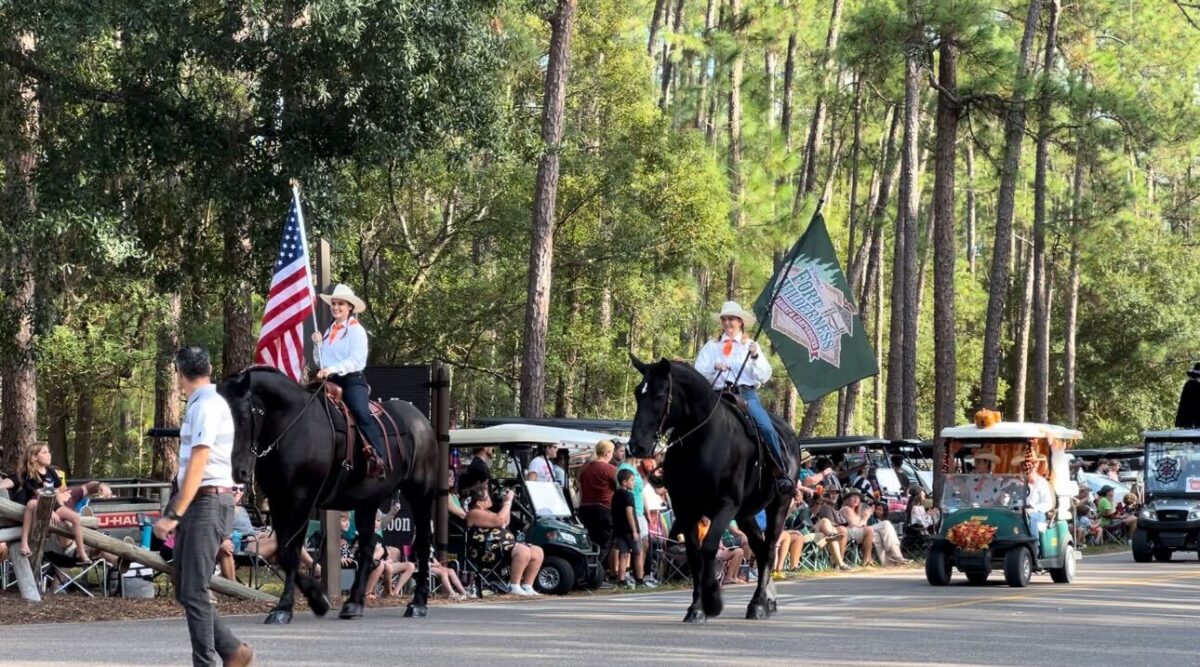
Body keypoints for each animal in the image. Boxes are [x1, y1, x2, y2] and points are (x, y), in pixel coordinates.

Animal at [218, 367, 439, 623]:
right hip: (367, 502)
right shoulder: (278, 499)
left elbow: (290, 550)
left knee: (422, 544)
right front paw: (317, 599)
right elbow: (284, 550)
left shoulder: (302, 498)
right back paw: (353, 603)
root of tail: (422, 421)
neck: (292, 425)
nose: (239, 471)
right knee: (367, 547)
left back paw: (418, 603)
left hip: (420, 494)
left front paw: (285, 607)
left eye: (243, 417)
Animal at [628, 357, 796, 623]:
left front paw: (713, 600)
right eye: (637, 392)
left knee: (769, 550)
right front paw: (696, 608)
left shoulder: (726, 505)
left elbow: (708, 548)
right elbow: (695, 555)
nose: (637, 446)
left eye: (660, 393)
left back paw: (759, 603)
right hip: (746, 514)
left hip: (778, 505)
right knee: (759, 549)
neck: (703, 441)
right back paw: (767, 600)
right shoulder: (685, 509)